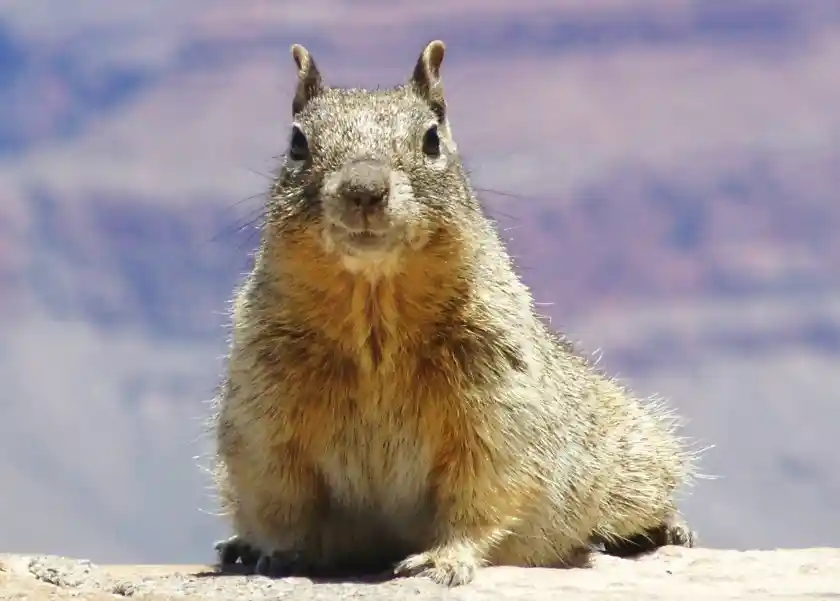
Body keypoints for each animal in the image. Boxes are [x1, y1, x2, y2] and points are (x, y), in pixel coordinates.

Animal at [210, 39, 696, 584]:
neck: (373, 308)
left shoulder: (494, 399)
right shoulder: (266, 411)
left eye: (431, 140)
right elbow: (281, 495)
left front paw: (443, 560)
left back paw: (665, 529)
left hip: (631, 458)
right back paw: (239, 546)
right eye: (297, 142)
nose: (364, 189)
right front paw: (279, 553)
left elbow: (481, 490)